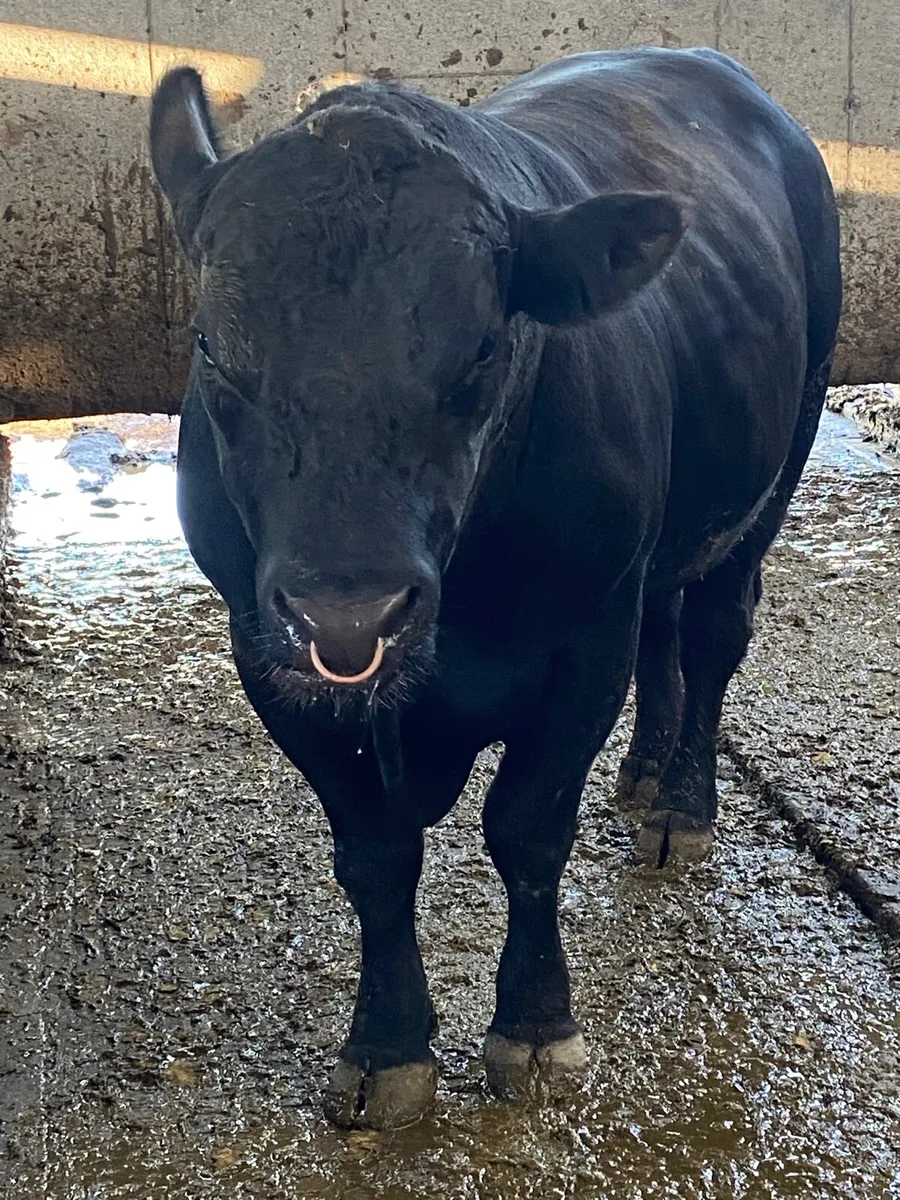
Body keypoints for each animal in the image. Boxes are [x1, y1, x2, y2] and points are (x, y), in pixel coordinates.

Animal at [149, 48, 841, 1128]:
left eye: (481, 349)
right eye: (213, 348)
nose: (348, 615)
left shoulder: (583, 643)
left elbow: (527, 829)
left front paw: (537, 1028)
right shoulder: (265, 653)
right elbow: (375, 855)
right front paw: (386, 1047)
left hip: (784, 450)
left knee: (716, 629)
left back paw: (681, 805)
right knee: (667, 620)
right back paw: (644, 774)